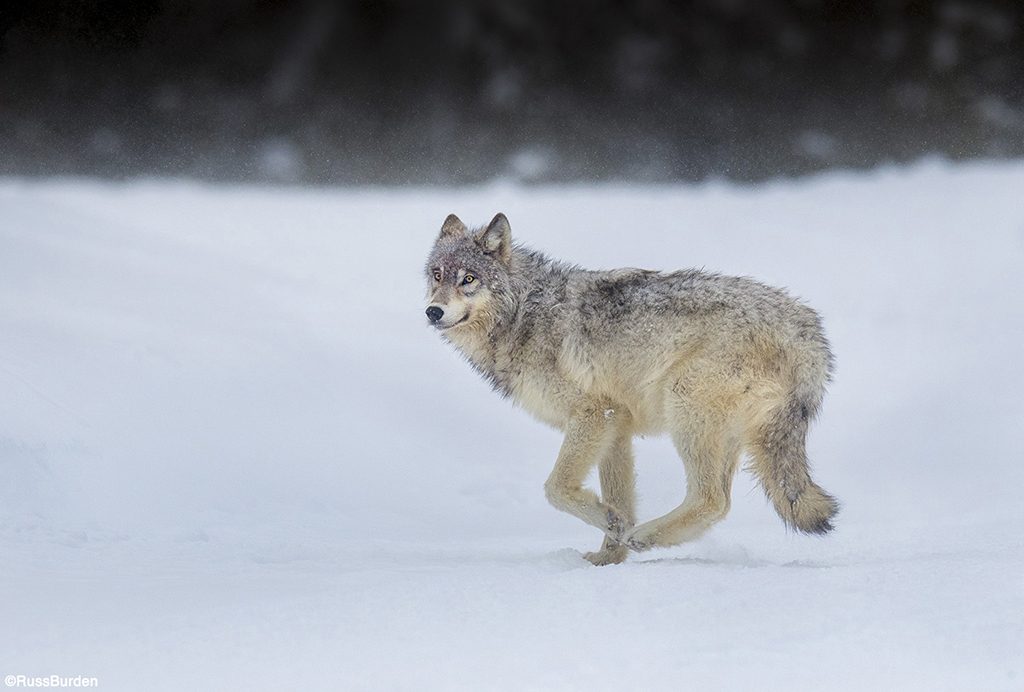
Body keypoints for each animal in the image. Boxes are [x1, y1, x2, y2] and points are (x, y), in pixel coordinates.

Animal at [423, 213, 839, 565]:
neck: (523, 311)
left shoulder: (592, 415)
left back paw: (646, 536)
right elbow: (618, 498)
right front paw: (608, 558)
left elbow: (556, 489)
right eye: (437, 274)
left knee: (713, 499)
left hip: (684, 403)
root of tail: (808, 334)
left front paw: (616, 527)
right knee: (719, 501)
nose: (432, 311)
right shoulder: (616, 424)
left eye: (469, 279)